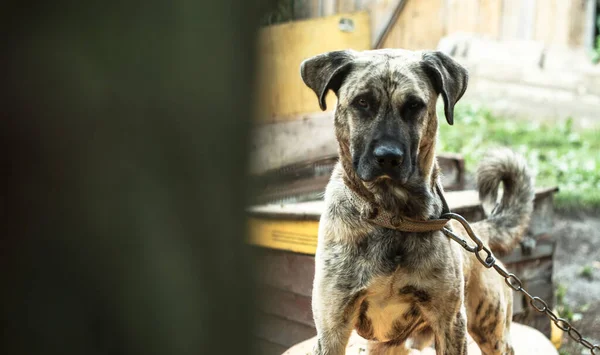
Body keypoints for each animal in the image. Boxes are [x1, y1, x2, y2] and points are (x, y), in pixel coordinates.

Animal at [300, 48, 536, 355]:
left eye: (414, 105)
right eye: (362, 102)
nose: (388, 157)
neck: (393, 216)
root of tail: (477, 232)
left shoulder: (450, 322)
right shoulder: (333, 328)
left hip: (491, 332)